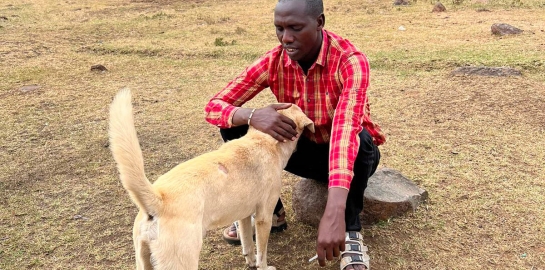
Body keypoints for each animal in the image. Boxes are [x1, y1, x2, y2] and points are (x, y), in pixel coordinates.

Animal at [108, 89, 312, 270]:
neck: (263, 140)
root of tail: (158, 199)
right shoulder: (264, 217)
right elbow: (262, 252)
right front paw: (263, 267)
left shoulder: (244, 215)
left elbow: (247, 243)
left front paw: (250, 261)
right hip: (183, 259)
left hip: (143, 259)